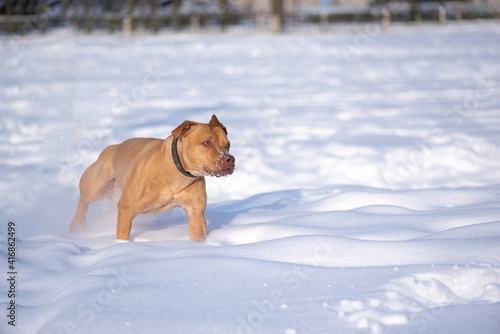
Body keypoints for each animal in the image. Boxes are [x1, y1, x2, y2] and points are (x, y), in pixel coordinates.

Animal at [69, 115, 235, 243]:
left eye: (227, 145)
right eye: (207, 142)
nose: (230, 159)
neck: (176, 171)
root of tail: (114, 146)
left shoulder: (196, 214)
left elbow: (197, 233)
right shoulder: (126, 209)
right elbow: (122, 235)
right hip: (96, 187)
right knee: (84, 200)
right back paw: (77, 225)